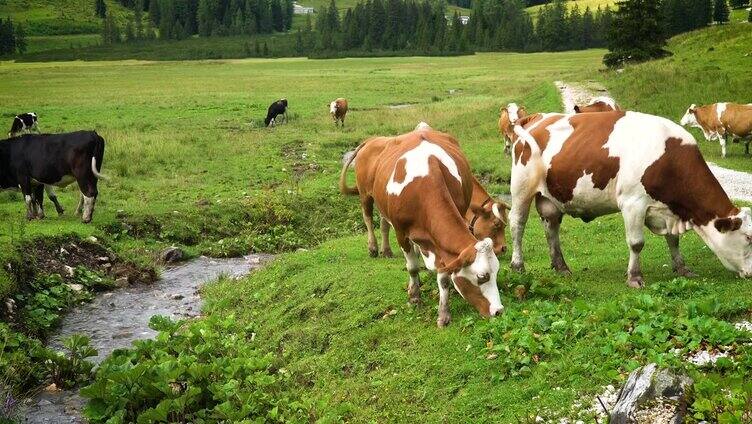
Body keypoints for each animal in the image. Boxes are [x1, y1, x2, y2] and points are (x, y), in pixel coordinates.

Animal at [340, 124, 506, 326]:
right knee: (368, 219)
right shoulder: (401, 232)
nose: (498, 311)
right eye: (482, 277)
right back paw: (373, 248)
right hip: (365, 194)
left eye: (496, 271)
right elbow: (412, 266)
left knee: (383, 224)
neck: (424, 189)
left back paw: (387, 251)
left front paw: (443, 314)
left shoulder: (441, 243)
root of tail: (373, 140)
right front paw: (414, 296)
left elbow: (444, 277)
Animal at [500, 104, 752, 286]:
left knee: (551, 226)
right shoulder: (633, 203)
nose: (750, 274)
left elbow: (673, 240)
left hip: (551, 196)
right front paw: (634, 277)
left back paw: (561, 267)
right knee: (518, 224)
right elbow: (636, 243)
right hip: (522, 188)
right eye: (748, 238)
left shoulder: (668, 209)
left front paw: (682, 268)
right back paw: (518, 265)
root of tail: (537, 117)